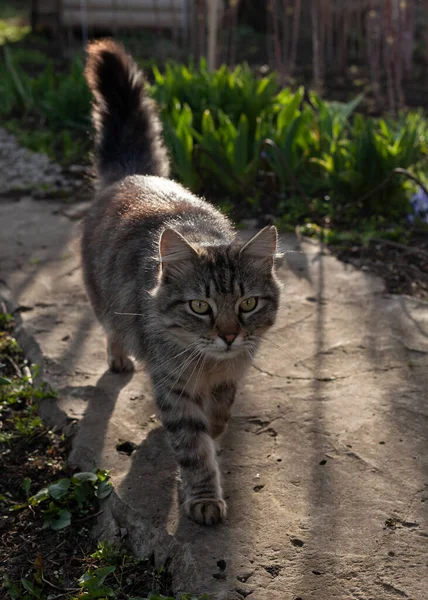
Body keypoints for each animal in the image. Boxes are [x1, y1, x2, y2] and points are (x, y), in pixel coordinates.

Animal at [82, 39, 280, 524]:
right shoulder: (172, 385)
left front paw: (216, 429)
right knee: (112, 330)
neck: (210, 365)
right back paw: (119, 359)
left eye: (247, 305)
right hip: (104, 304)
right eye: (200, 307)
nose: (228, 336)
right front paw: (205, 497)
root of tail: (132, 175)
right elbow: (193, 448)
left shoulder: (232, 376)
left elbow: (220, 416)